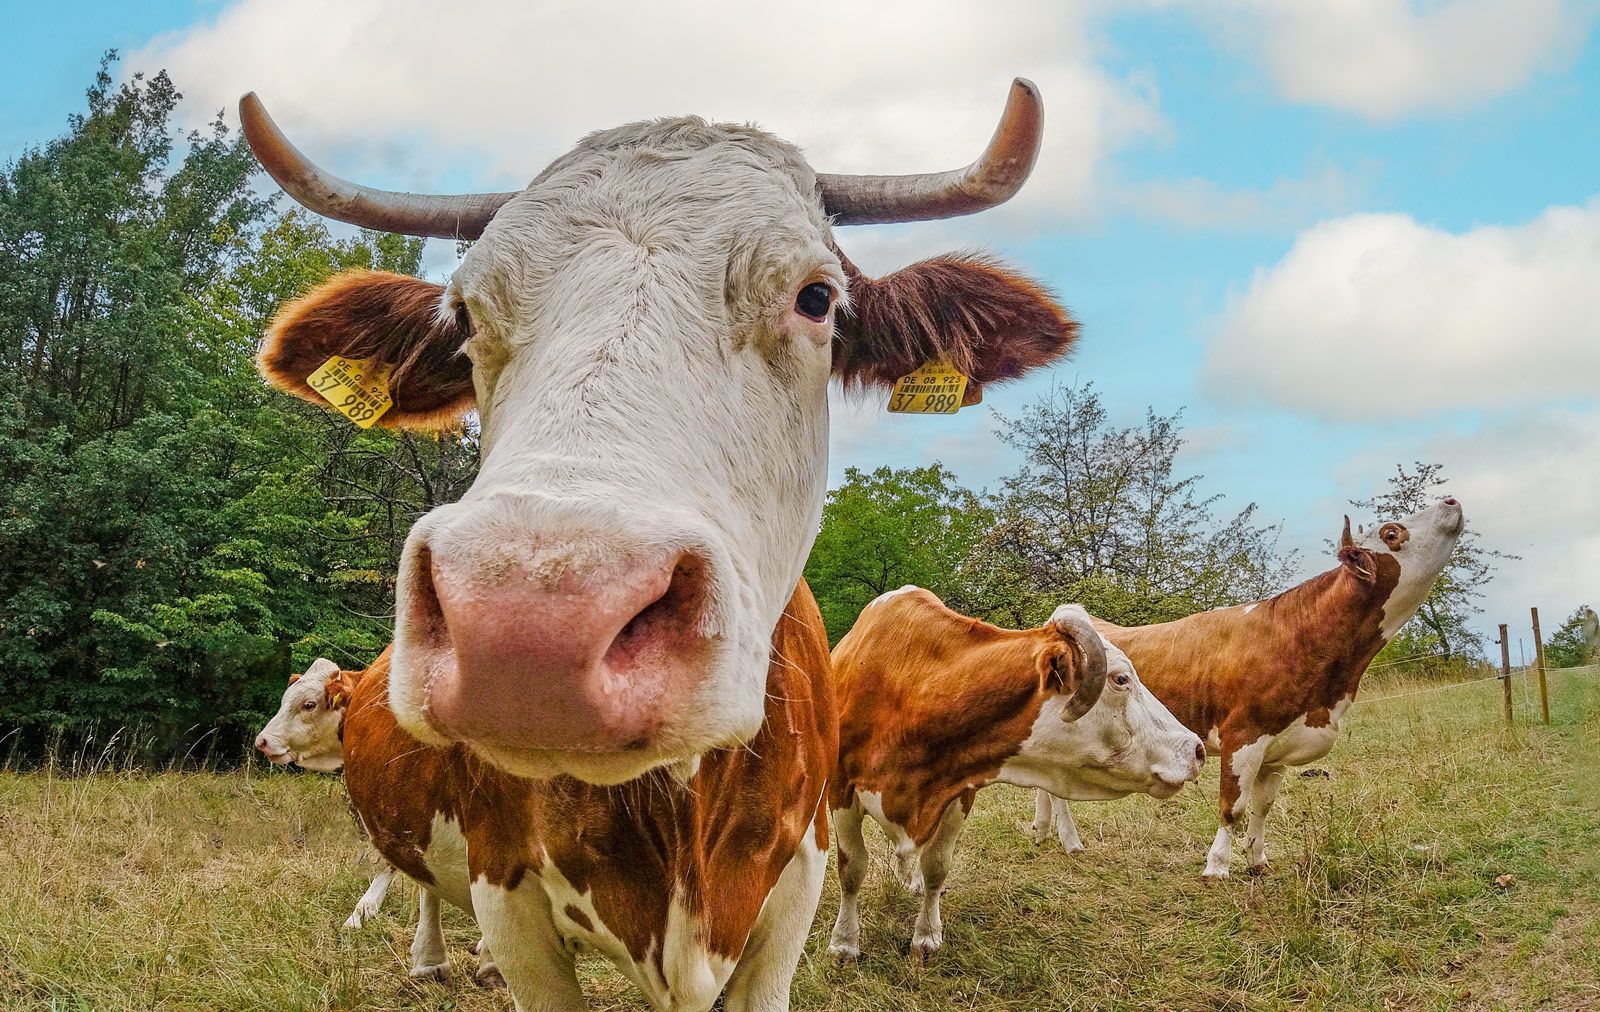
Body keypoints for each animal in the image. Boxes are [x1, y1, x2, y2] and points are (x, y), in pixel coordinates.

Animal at [825, 589, 1203, 960]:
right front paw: (844, 942)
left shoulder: (959, 792)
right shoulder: (840, 791)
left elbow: (936, 866)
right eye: (1121, 679)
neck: (915, 691)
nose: (1195, 749)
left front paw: (926, 935)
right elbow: (852, 868)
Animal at [1036, 499, 1465, 877]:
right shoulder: (1242, 736)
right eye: (1392, 533)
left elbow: (1262, 807)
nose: (1451, 501)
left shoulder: (1278, 747)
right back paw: (1071, 841)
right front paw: (1217, 866)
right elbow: (1233, 807)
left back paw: (1043, 832)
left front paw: (1257, 860)